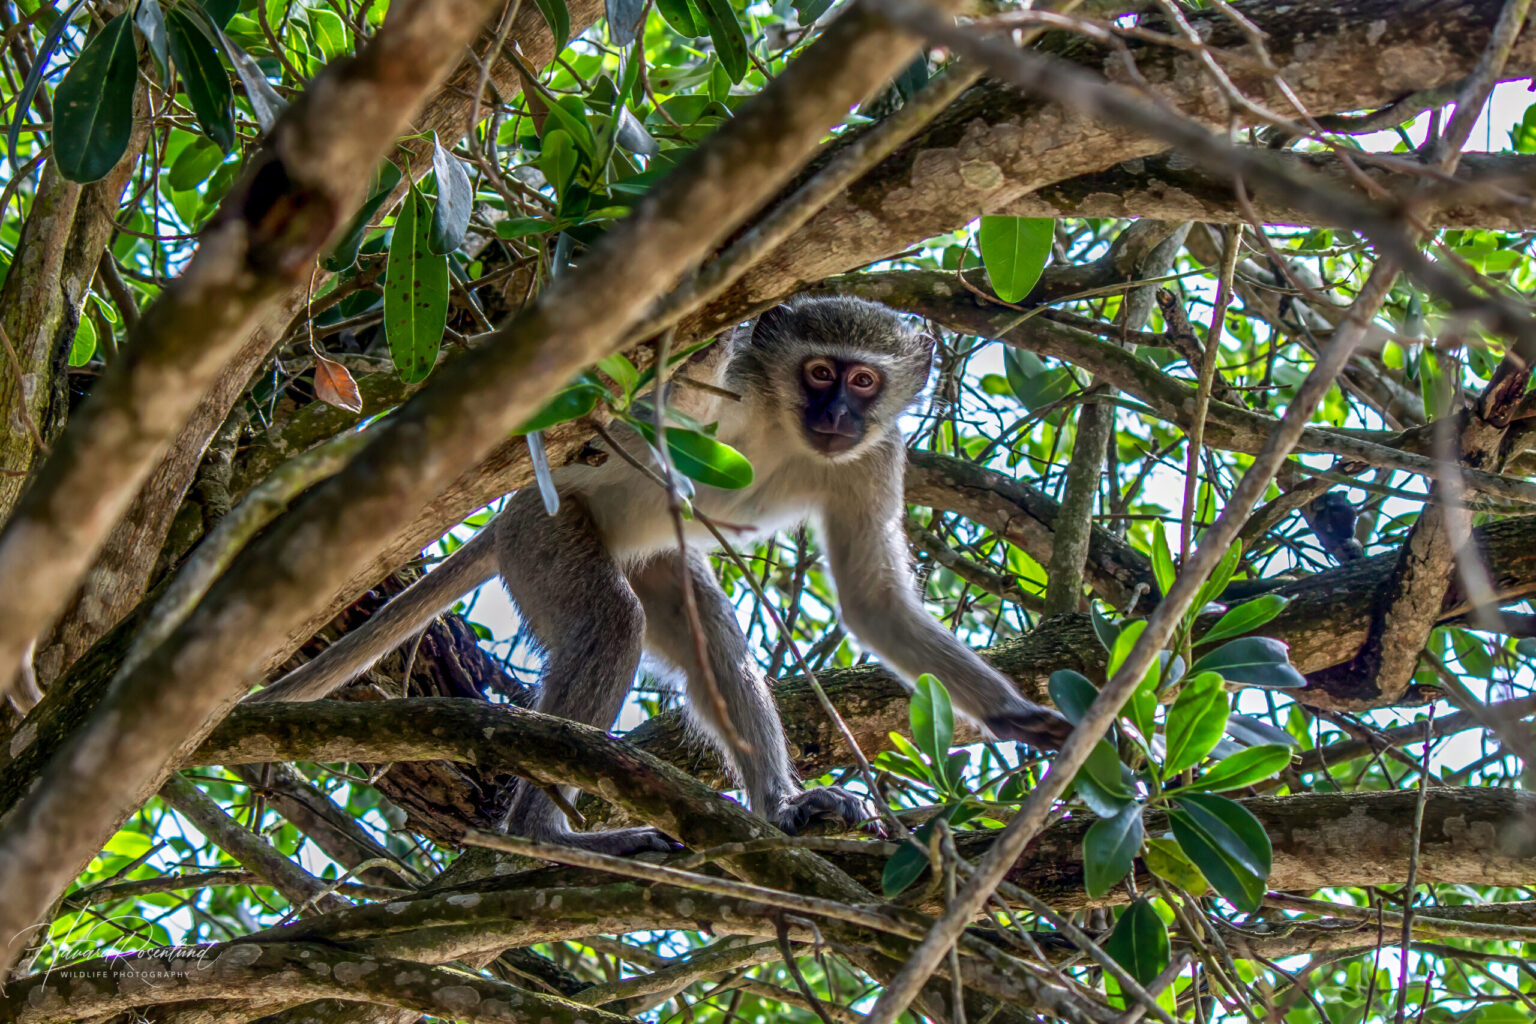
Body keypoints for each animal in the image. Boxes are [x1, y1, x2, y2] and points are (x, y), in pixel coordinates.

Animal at [249, 297, 1072, 854]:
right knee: (612, 623)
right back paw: (543, 838)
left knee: (707, 632)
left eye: (864, 381)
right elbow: (630, 382)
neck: (781, 422)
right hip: (545, 537)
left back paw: (781, 808)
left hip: (646, 559)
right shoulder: (719, 385)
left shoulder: (874, 457)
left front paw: (1013, 715)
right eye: (818, 371)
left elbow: (874, 603)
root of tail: (508, 522)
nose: (837, 413)